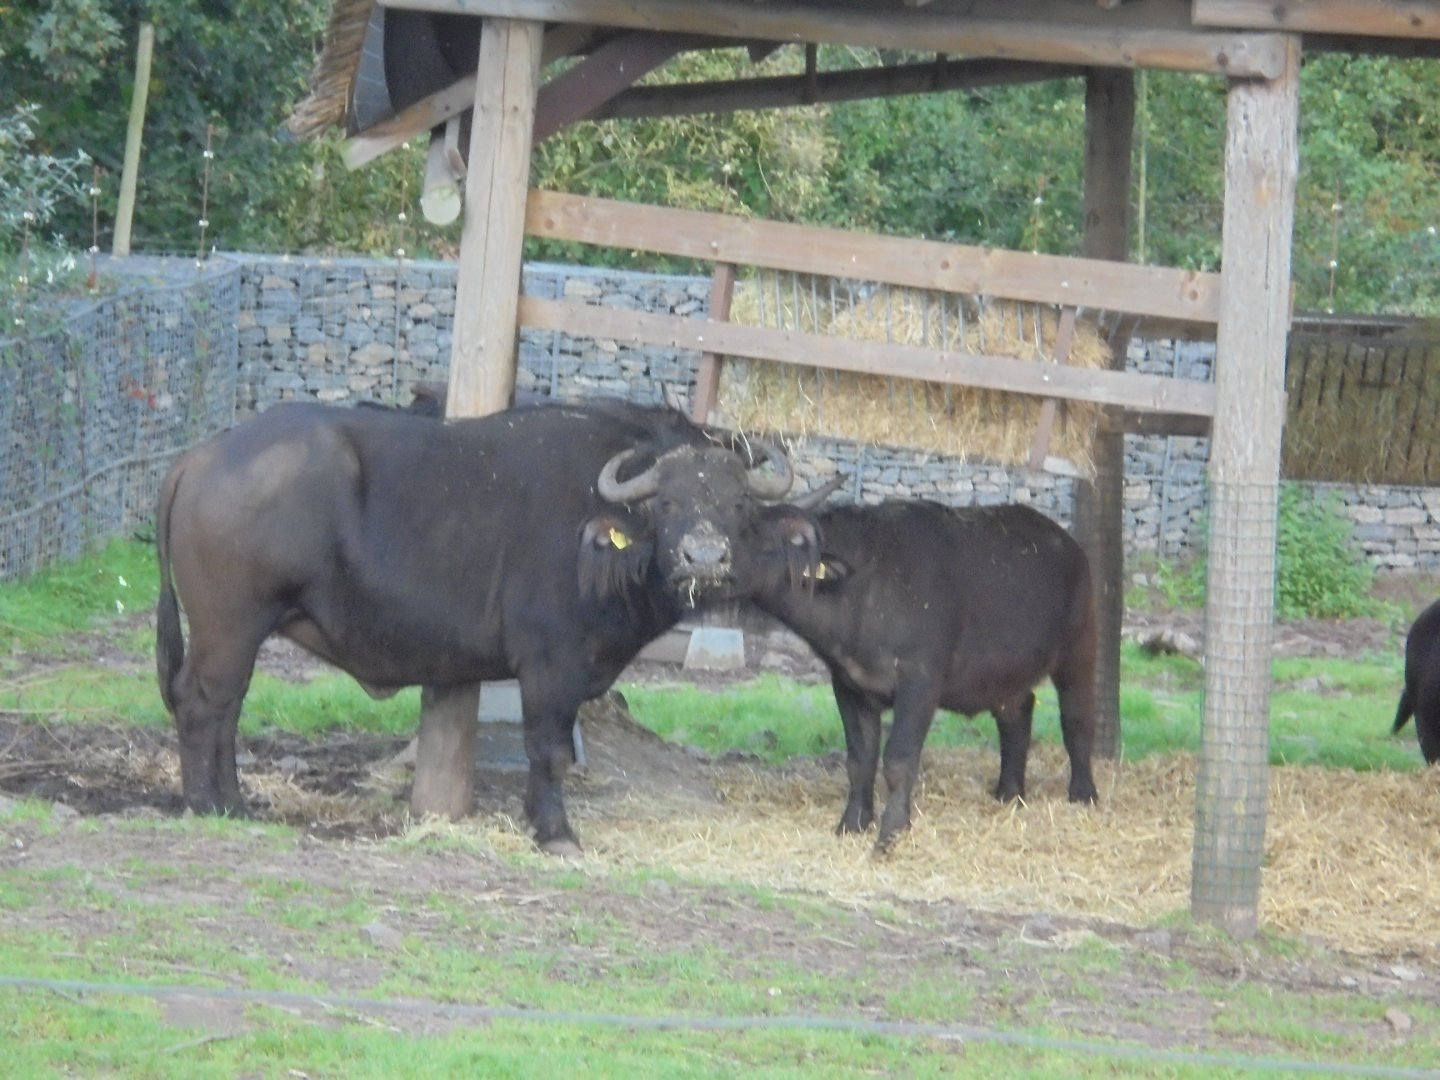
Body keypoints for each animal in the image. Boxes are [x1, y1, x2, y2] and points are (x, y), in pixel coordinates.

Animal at [155, 398, 821, 853]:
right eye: (666, 503)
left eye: (736, 504)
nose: (704, 558)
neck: (598, 541)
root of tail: (201, 458)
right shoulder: (551, 666)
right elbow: (548, 751)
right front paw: (555, 832)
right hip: (229, 624)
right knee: (200, 703)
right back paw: (206, 803)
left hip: (239, 632)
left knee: (226, 706)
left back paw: (235, 801)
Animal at [751, 500, 1099, 849]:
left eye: (760, 537)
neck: (865, 589)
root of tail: (1070, 546)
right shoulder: (848, 686)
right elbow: (860, 761)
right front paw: (853, 823)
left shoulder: (920, 685)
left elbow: (898, 760)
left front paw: (891, 833)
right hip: (1005, 673)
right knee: (1016, 713)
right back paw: (1009, 793)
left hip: (1078, 649)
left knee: (1076, 717)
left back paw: (1083, 794)